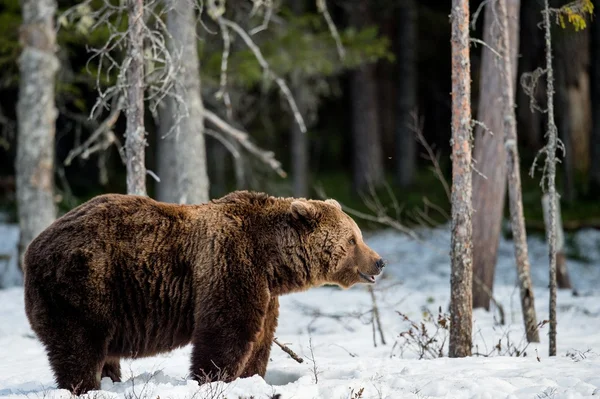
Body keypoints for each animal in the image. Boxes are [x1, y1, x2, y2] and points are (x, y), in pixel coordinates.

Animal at [23, 191, 384, 396]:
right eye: (352, 239)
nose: (379, 261)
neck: (273, 260)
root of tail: (32, 248)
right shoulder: (229, 265)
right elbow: (226, 332)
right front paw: (213, 380)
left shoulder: (266, 292)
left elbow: (260, 340)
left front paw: (252, 378)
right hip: (84, 285)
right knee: (79, 347)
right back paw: (85, 386)